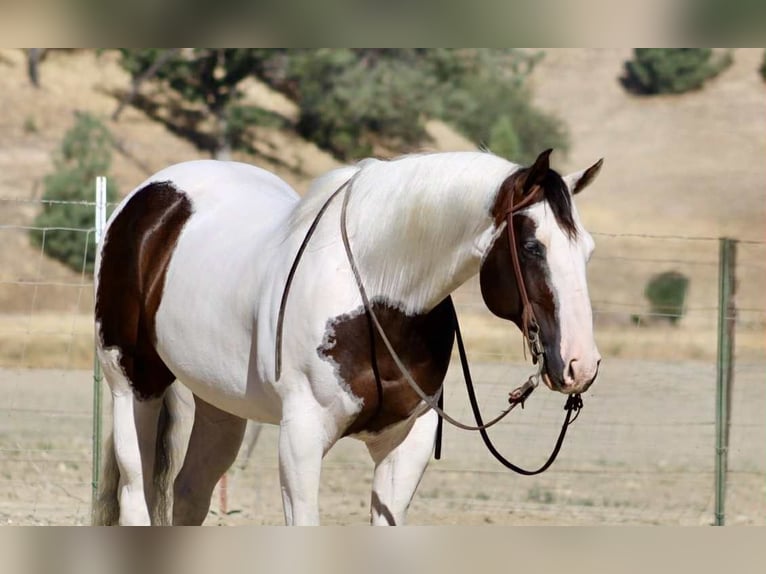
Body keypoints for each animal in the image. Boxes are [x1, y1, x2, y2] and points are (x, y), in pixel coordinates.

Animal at [92, 149, 603, 525]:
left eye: (587, 249)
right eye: (533, 247)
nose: (581, 364)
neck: (377, 299)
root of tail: (150, 196)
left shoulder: (406, 444)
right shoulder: (301, 438)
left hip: (222, 405)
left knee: (191, 491)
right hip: (133, 385)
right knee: (136, 494)